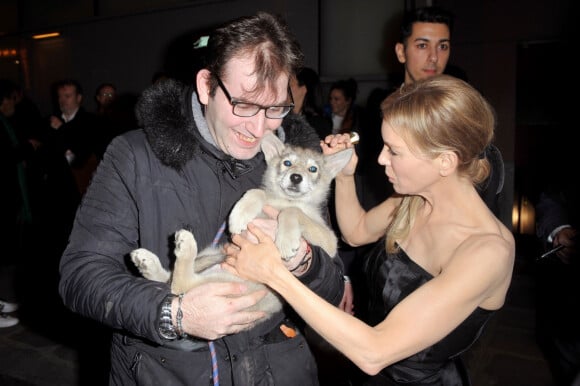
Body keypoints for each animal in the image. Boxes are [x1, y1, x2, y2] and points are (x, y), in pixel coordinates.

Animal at [131, 133, 352, 326]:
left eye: (313, 169)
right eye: (287, 163)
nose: (296, 178)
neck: (285, 199)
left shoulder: (330, 241)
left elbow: (293, 212)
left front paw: (286, 240)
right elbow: (257, 192)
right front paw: (240, 214)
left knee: (178, 285)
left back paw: (172, 251)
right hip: (216, 259)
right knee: (173, 283)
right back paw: (152, 260)